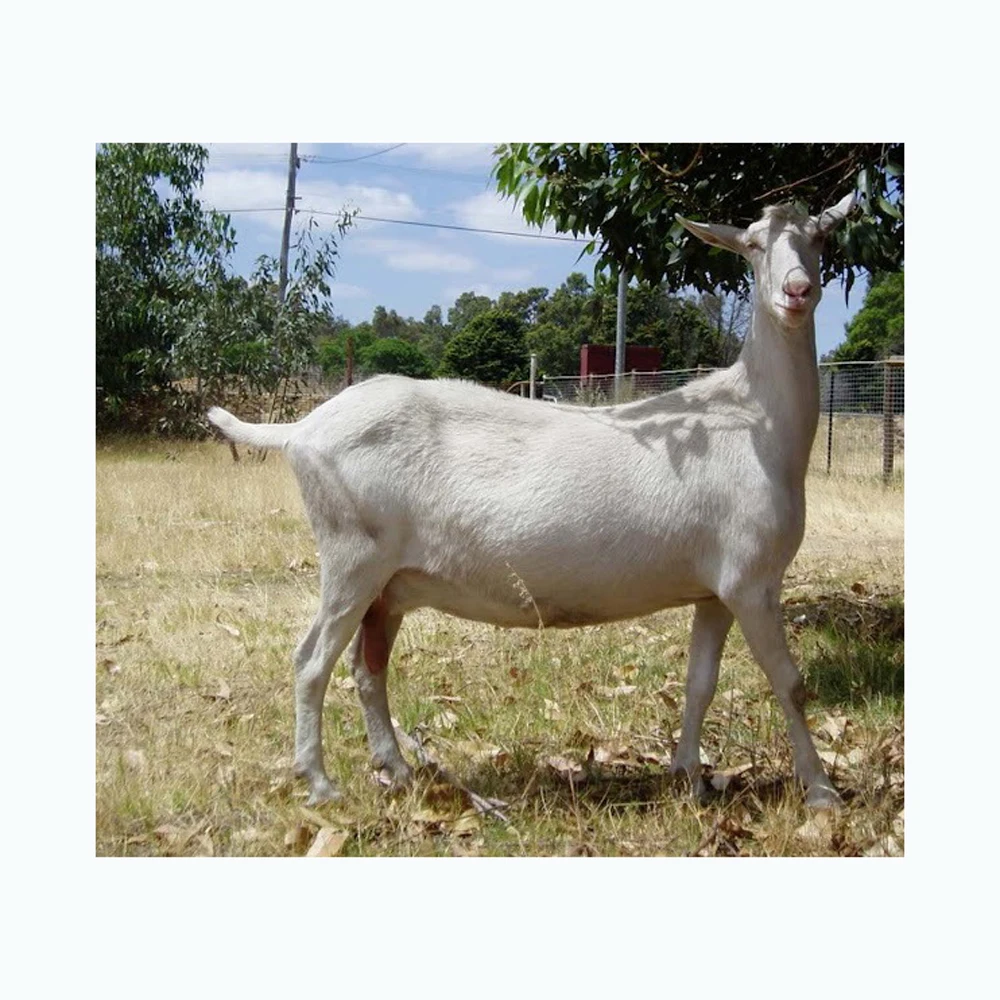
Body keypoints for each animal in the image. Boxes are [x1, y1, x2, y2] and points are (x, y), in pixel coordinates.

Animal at [207, 193, 856, 810]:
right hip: (351, 556)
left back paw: (397, 769)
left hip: (385, 585)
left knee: (368, 669)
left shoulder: (716, 589)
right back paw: (319, 783)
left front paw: (689, 779)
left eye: (822, 237)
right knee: (311, 662)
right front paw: (822, 792)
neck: (754, 421)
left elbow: (701, 682)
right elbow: (790, 681)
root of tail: (302, 430)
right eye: (752, 245)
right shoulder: (753, 579)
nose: (797, 291)